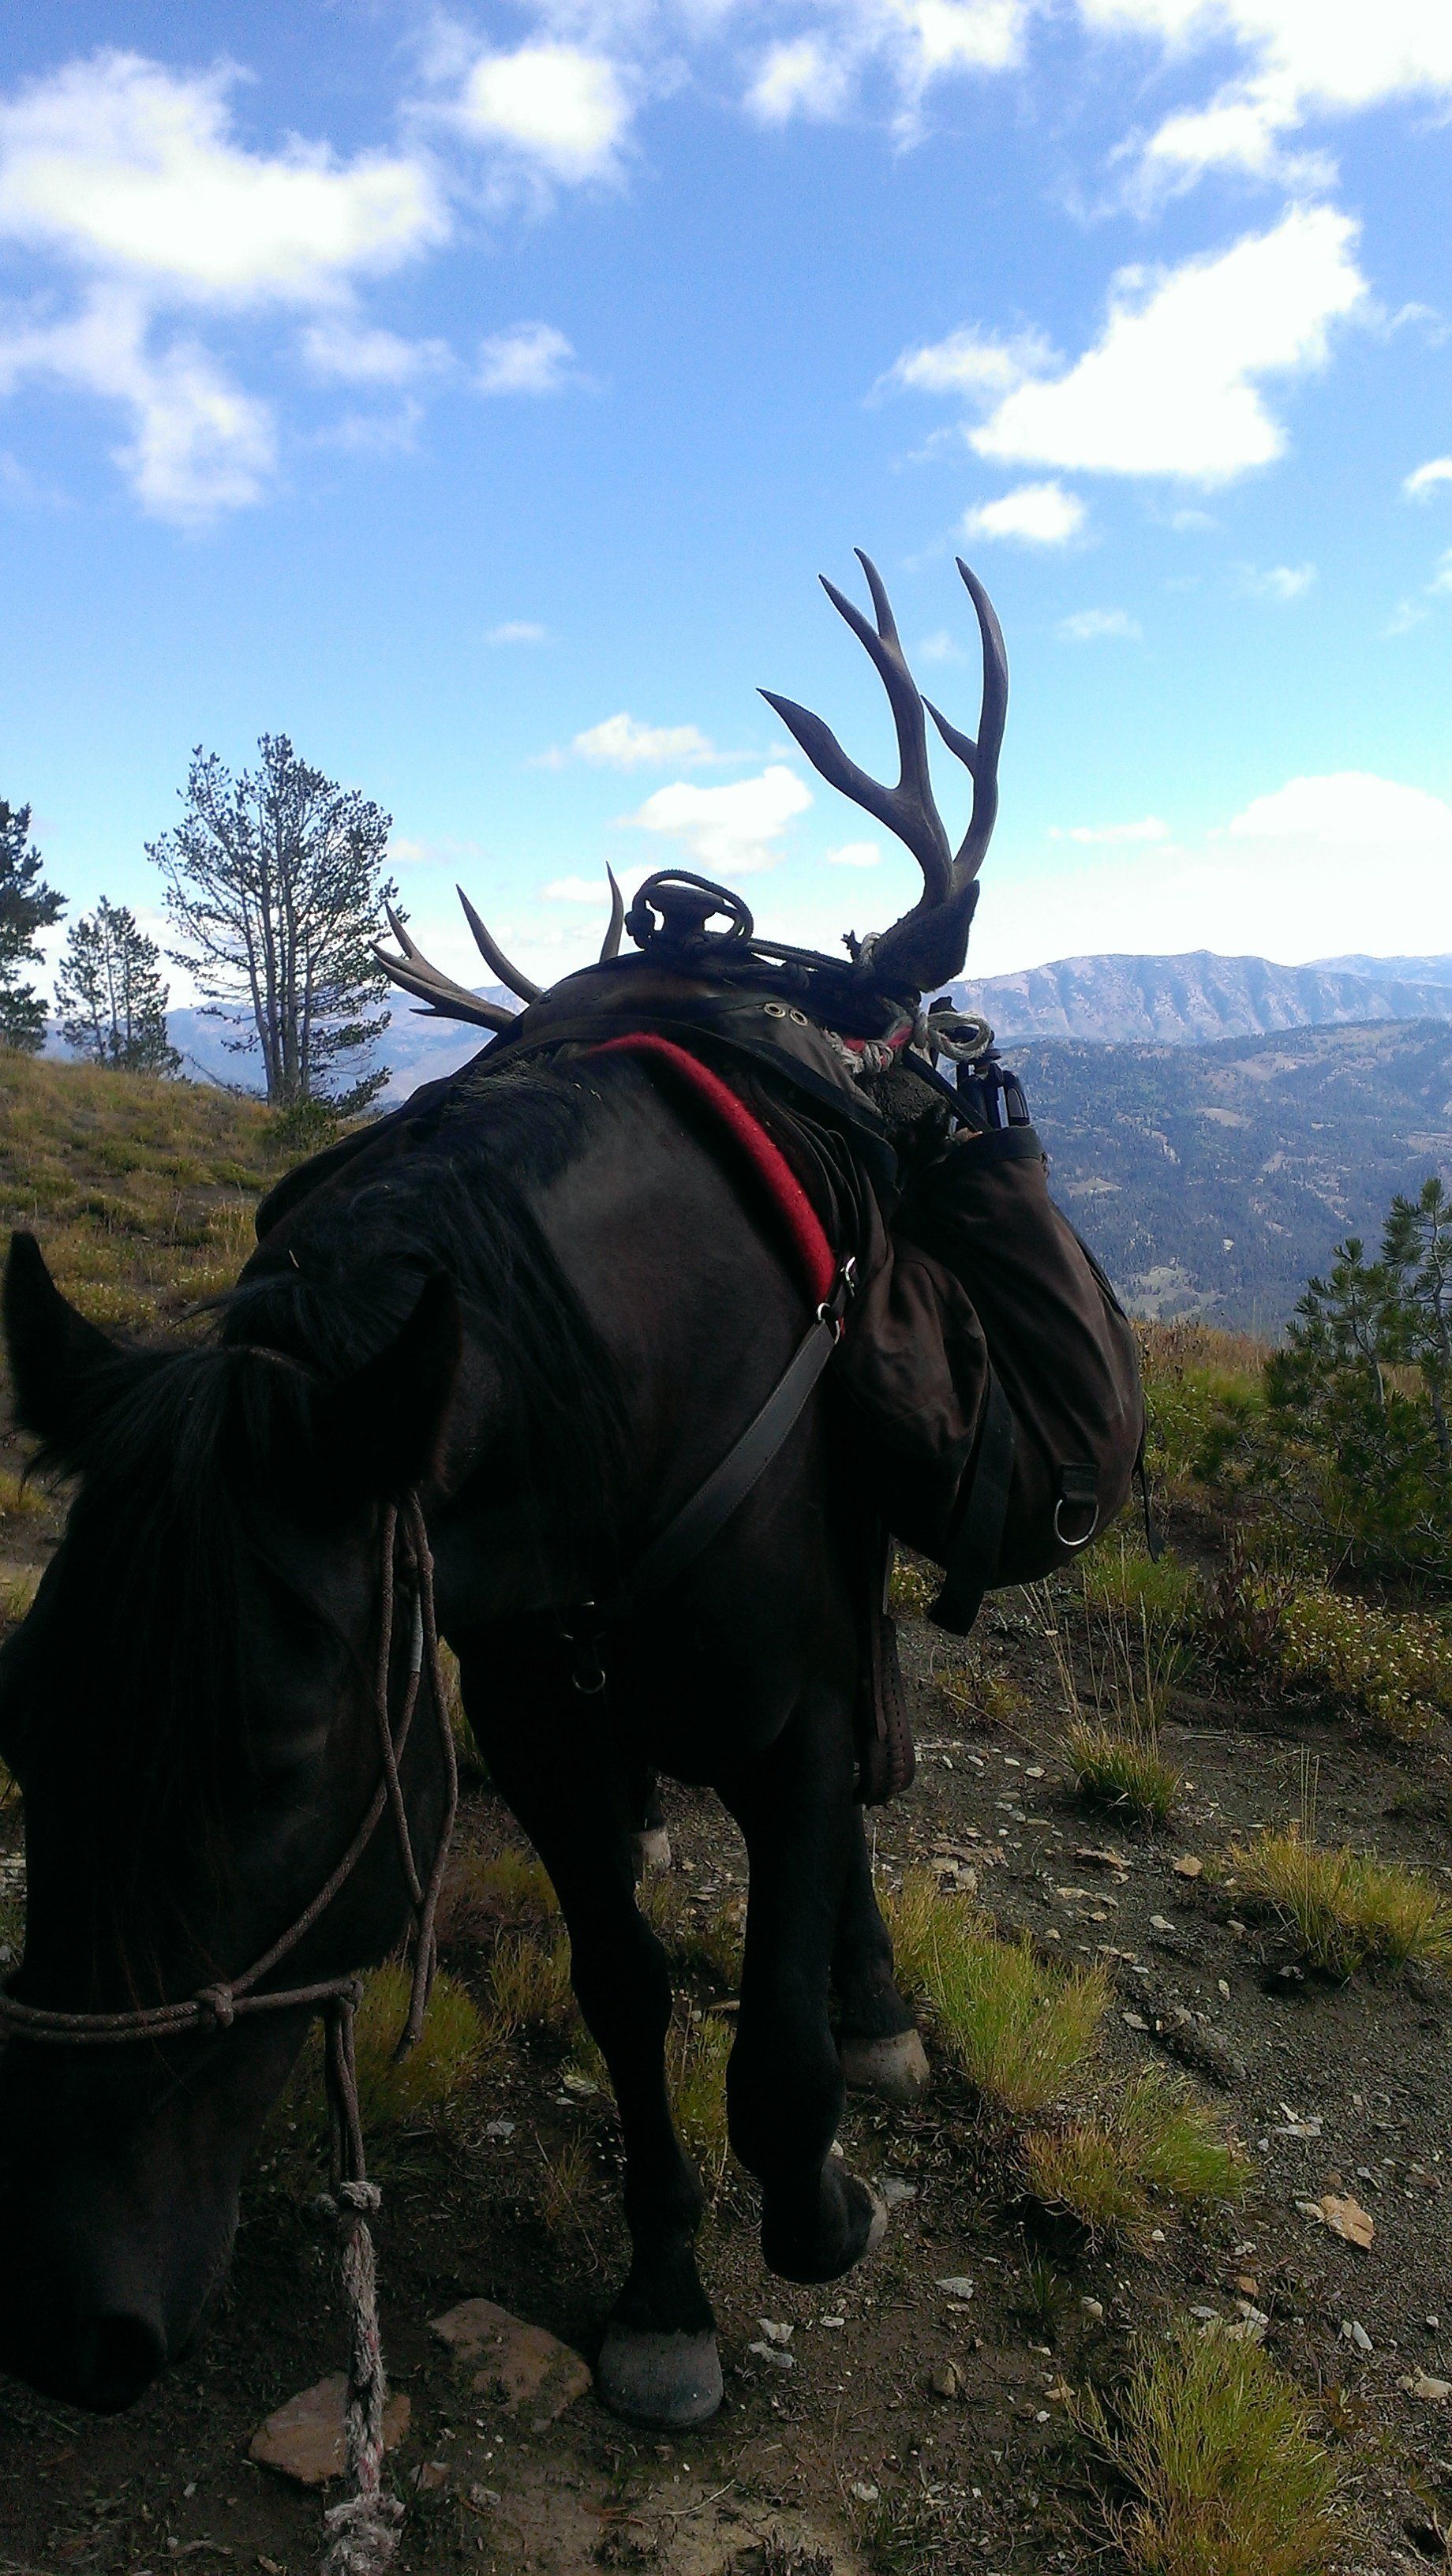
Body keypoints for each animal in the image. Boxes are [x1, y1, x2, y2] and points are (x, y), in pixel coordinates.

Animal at [0, 552, 1004, 2436]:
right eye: (20, 1714)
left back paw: (872, 1988)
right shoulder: (531, 1721)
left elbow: (775, 2037)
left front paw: (816, 2194)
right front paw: (665, 2282)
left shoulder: (793, 1697)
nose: (67, 2321)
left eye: (277, 1761)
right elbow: (625, 1992)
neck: (607, 1415)